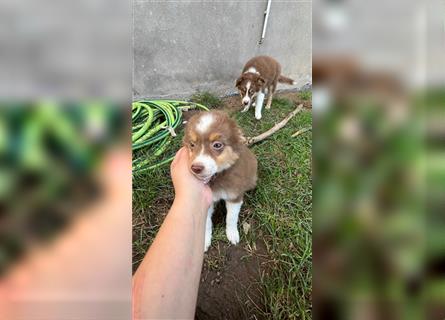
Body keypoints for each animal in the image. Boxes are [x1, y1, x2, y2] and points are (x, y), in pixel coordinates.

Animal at [181, 111, 256, 251]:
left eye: (217, 145)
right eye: (192, 145)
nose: (196, 168)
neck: (218, 177)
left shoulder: (234, 196)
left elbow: (231, 218)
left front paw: (232, 234)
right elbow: (206, 223)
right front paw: (205, 240)